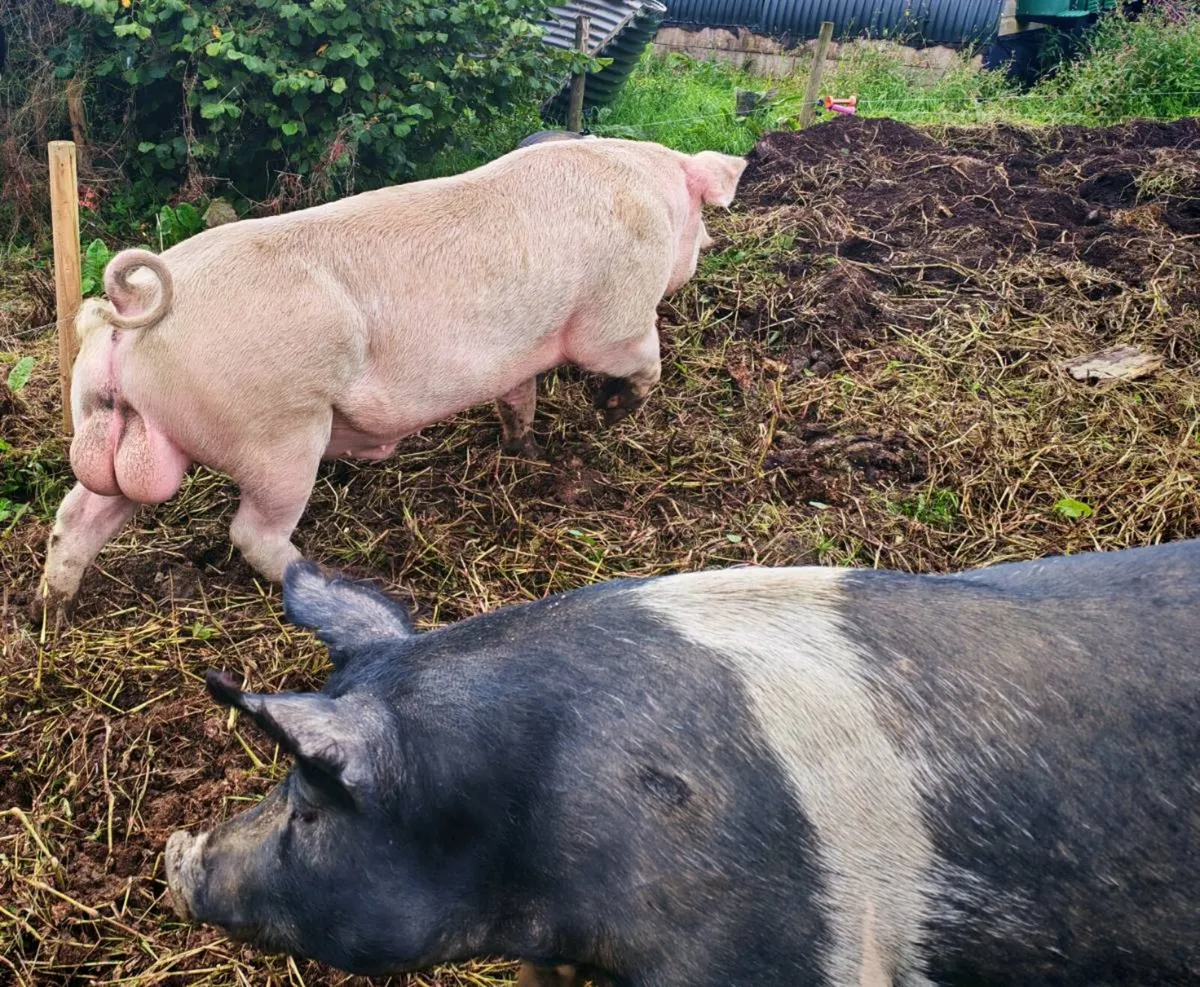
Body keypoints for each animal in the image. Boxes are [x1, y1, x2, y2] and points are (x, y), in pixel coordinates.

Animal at [39, 136, 746, 620]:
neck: (651, 191)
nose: (711, 243)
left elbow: (518, 399)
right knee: (253, 533)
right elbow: (645, 354)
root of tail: (130, 311)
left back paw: (52, 607)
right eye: (699, 216)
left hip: (128, 432)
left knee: (78, 514)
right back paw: (322, 574)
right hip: (279, 435)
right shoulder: (615, 318)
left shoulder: (516, 360)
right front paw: (614, 408)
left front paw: (524, 450)